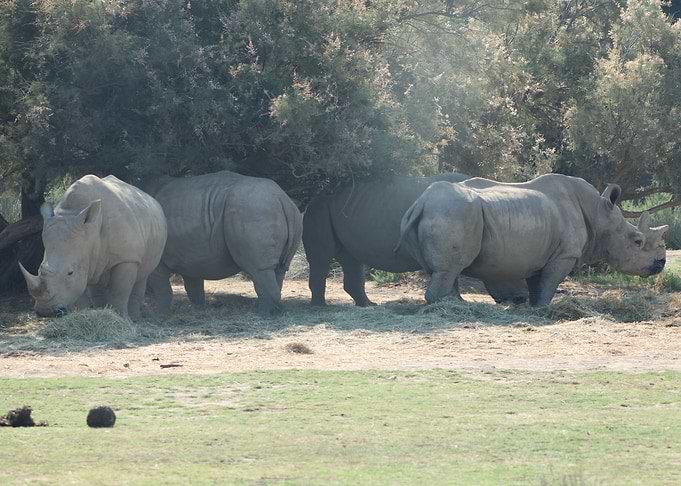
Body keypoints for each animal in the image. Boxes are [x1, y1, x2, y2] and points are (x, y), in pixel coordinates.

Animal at [20, 175, 167, 319]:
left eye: (70, 273)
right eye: (39, 270)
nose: (45, 312)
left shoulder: (127, 258)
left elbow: (119, 292)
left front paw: (123, 319)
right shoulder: (85, 254)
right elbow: (80, 291)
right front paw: (87, 314)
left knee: (142, 275)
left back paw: (136, 318)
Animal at [143, 171, 303, 317]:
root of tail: (282, 199)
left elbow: (162, 289)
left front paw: (159, 315)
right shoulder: (189, 256)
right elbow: (193, 286)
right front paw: (199, 309)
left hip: (254, 210)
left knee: (259, 269)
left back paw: (260, 314)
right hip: (287, 214)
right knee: (280, 269)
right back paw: (274, 311)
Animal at [303, 174, 528, 306]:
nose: (521, 299)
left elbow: (450, 271)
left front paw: (454, 300)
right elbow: (449, 271)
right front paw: (453, 301)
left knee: (352, 259)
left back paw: (368, 305)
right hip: (319, 210)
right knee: (322, 260)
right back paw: (320, 308)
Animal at [394, 174, 668, 305]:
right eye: (637, 242)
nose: (661, 264)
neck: (600, 214)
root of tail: (420, 202)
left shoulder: (540, 253)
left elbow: (538, 284)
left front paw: (533, 306)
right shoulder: (564, 254)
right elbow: (549, 284)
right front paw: (545, 309)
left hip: (441, 212)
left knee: (445, 270)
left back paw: (456, 305)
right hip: (452, 212)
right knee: (449, 269)